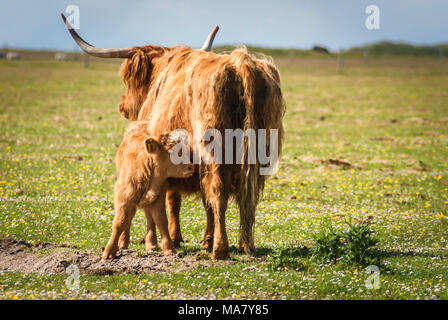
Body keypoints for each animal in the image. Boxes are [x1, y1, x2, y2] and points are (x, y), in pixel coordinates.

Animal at [103, 121, 194, 258]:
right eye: (172, 152)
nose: (191, 167)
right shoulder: (123, 197)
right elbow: (120, 222)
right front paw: (109, 251)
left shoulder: (159, 197)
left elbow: (161, 220)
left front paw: (169, 249)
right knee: (129, 217)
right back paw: (123, 243)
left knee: (149, 218)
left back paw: (151, 244)